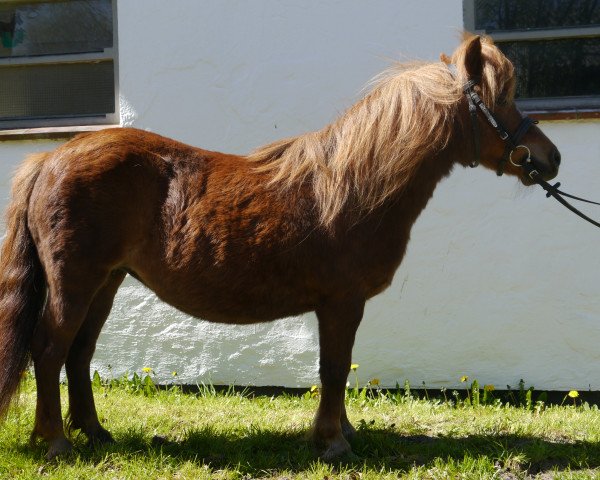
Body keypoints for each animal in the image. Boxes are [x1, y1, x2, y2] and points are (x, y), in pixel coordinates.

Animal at [0, 31, 556, 460]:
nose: (551, 158)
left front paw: (342, 431)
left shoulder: (341, 306)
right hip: (76, 282)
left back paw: (95, 433)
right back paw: (56, 443)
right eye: (500, 100)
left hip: (107, 282)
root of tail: (50, 159)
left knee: (79, 354)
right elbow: (334, 369)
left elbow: (338, 370)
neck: (356, 186)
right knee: (49, 349)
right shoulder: (341, 303)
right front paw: (333, 442)